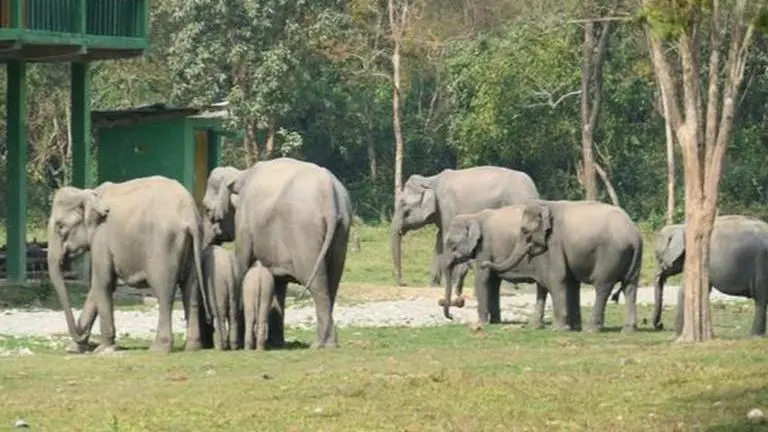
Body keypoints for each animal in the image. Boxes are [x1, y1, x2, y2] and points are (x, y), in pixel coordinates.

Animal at [46, 176, 221, 354]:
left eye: (60, 226)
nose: (81, 338)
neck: (90, 193)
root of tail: (189, 213)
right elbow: (97, 287)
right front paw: (75, 349)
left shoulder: (101, 237)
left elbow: (103, 282)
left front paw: (103, 348)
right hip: (194, 245)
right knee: (190, 291)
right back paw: (193, 348)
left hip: (164, 245)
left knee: (164, 292)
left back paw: (158, 349)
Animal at [203, 157, 353, 349]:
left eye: (207, 210)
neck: (240, 174)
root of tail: (328, 192)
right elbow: (278, 282)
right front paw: (275, 344)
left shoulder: (245, 221)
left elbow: (242, 263)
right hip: (342, 231)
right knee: (333, 283)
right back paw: (326, 343)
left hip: (306, 235)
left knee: (318, 286)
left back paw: (320, 345)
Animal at [391, 166, 540, 290]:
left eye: (403, 205)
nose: (403, 283)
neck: (431, 180)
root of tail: (534, 190)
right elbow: (439, 242)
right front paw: (433, 286)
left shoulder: (448, 208)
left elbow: (446, 239)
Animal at [477, 200, 643, 332]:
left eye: (524, 230)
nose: (484, 263)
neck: (547, 204)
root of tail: (633, 235)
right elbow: (572, 283)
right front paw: (574, 327)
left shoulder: (555, 242)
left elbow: (557, 278)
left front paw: (559, 329)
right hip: (634, 258)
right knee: (630, 286)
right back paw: (628, 330)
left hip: (610, 255)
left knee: (602, 286)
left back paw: (591, 329)